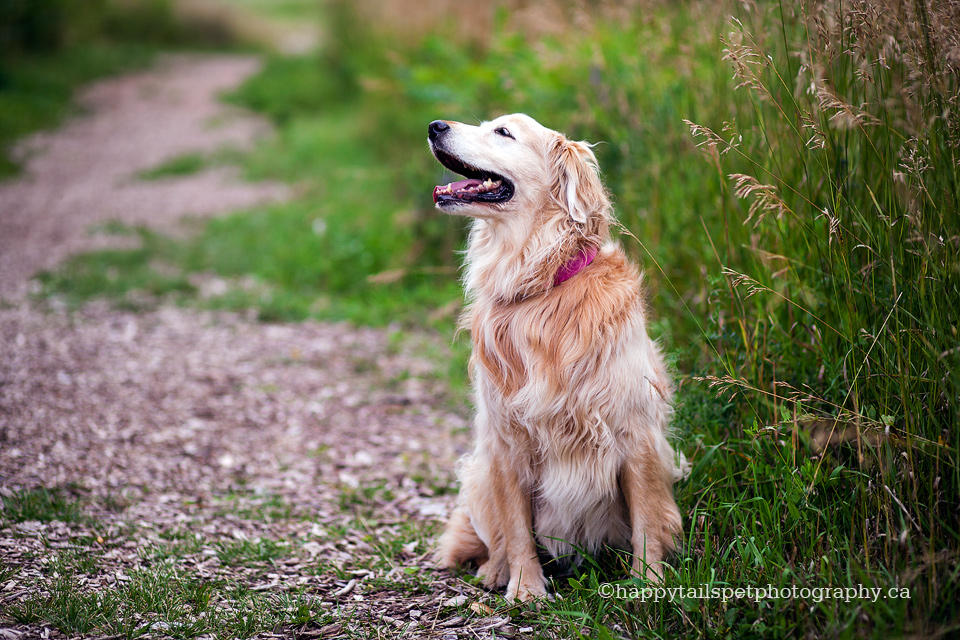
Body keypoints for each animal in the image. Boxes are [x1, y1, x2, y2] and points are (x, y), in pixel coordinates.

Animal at [428, 114, 684, 600]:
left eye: (503, 132)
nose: (434, 126)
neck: (541, 285)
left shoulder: (636, 434)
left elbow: (646, 521)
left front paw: (648, 584)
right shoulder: (505, 439)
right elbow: (516, 530)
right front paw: (526, 590)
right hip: (479, 474)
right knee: (495, 539)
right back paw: (495, 571)